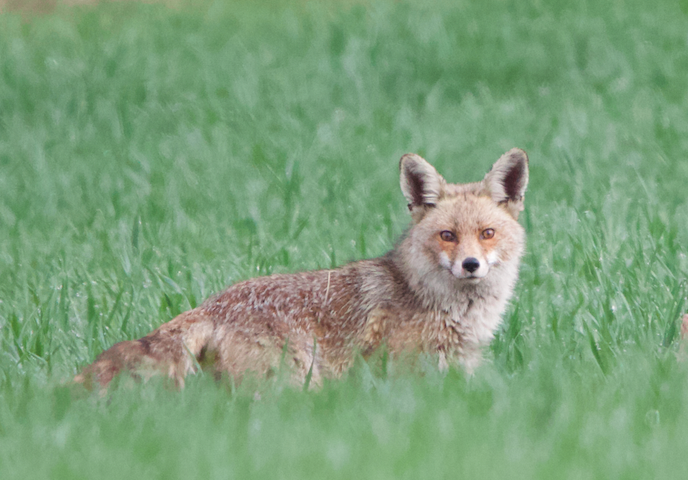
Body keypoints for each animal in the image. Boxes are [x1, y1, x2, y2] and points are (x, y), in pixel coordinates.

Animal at [75, 148, 529, 389]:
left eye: (487, 233)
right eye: (448, 235)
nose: (470, 265)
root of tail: (211, 304)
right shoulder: (403, 372)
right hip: (296, 381)